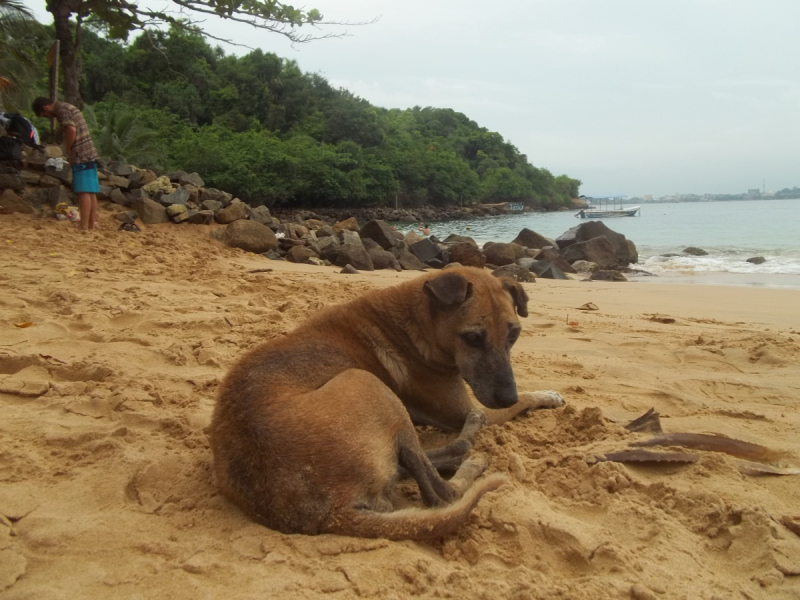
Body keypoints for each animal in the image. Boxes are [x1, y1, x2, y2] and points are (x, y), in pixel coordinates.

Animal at [209, 268, 564, 540]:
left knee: (413, 465)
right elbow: (523, 400)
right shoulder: (466, 407)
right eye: (473, 338)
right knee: (441, 492)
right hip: (368, 384)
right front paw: (548, 395)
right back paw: (470, 453)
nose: (507, 396)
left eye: (514, 334)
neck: (415, 321)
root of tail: (330, 511)